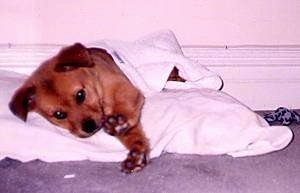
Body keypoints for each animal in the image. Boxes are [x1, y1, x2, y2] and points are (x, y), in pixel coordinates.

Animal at [8, 43, 183, 173]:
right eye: (59, 114)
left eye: (80, 95)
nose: (89, 127)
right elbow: (133, 134)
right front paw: (137, 154)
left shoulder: (124, 89)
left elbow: (124, 108)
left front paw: (119, 123)